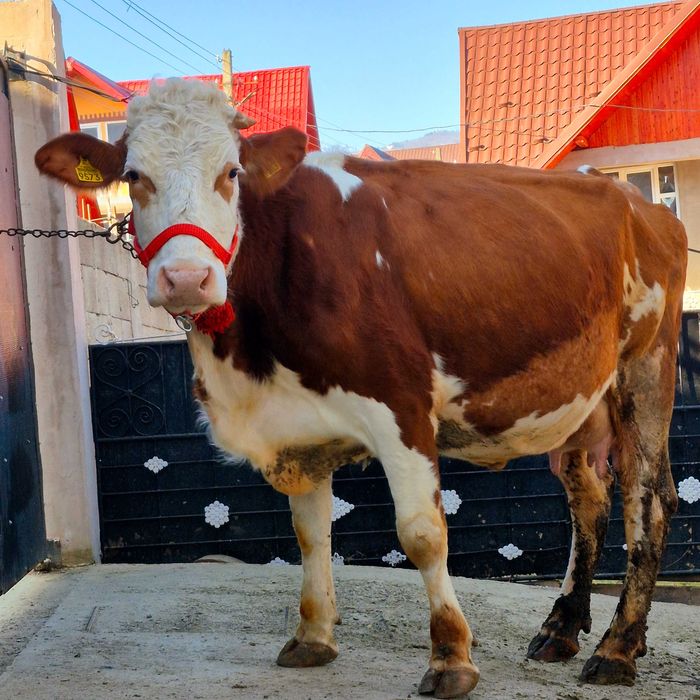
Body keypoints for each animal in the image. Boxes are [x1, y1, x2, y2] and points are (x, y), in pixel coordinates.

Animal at [35, 79, 686, 698]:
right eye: (133, 176)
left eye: (231, 172)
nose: (187, 278)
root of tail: (640, 202)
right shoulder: (297, 429)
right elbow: (310, 534)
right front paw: (313, 636)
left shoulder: (401, 406)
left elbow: (422, 535)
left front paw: (451, 658)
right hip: (583, 397)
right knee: (588, 499)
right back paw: (563, 628)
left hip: (646, 366)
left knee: (647, 501)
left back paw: (618, 648)